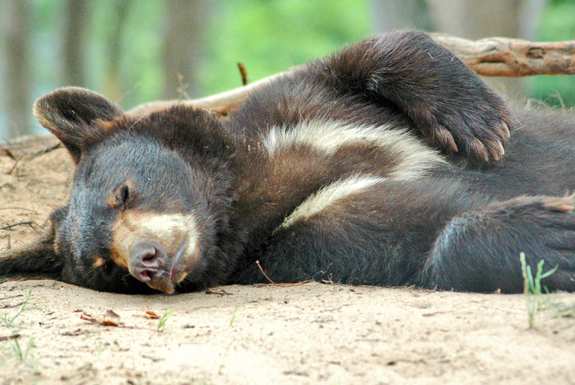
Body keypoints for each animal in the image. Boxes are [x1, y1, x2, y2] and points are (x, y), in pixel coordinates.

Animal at [1, 31, 575, 292]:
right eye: (106, 266)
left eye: (122, 193)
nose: (148, 260)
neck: (242, 194)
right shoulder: (290, 245)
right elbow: (409, 236)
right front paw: (552, 235)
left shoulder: (296, 114)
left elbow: (359, 60)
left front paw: (477, 122)